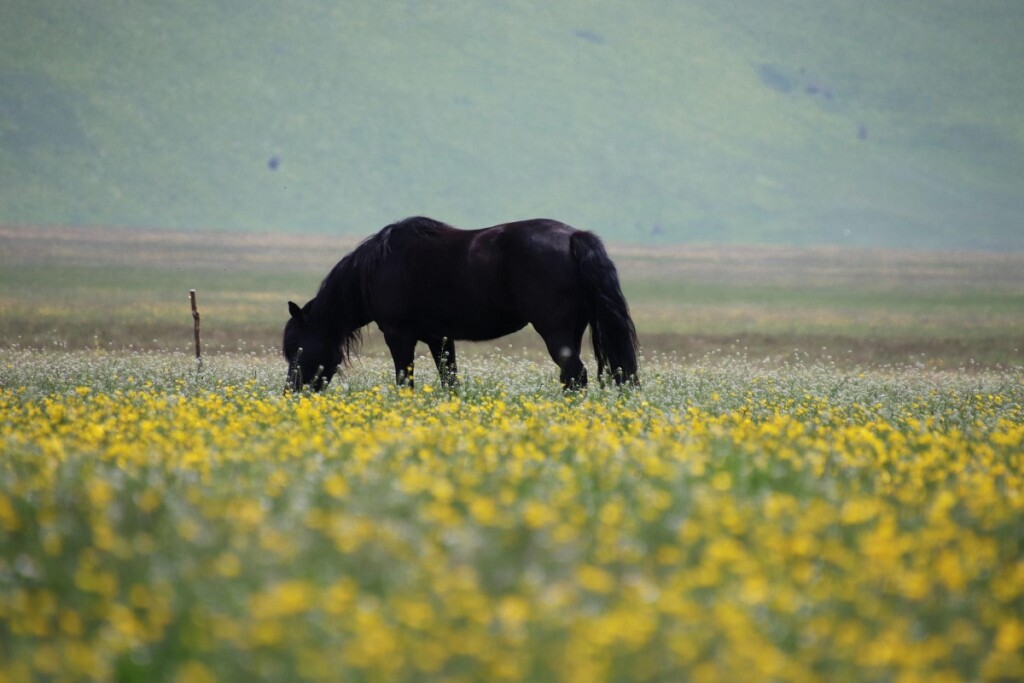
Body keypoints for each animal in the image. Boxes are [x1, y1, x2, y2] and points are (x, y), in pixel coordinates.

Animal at [286, 216, 638, 393]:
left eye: (296, 350)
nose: (292, 392)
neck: (378, 267)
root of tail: (573, 237)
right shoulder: (440, 338)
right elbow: (450, 380)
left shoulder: (399, 336)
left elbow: (404, 381)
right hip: (573, 331)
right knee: (571, 377)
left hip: (555, 332)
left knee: (575, 375)